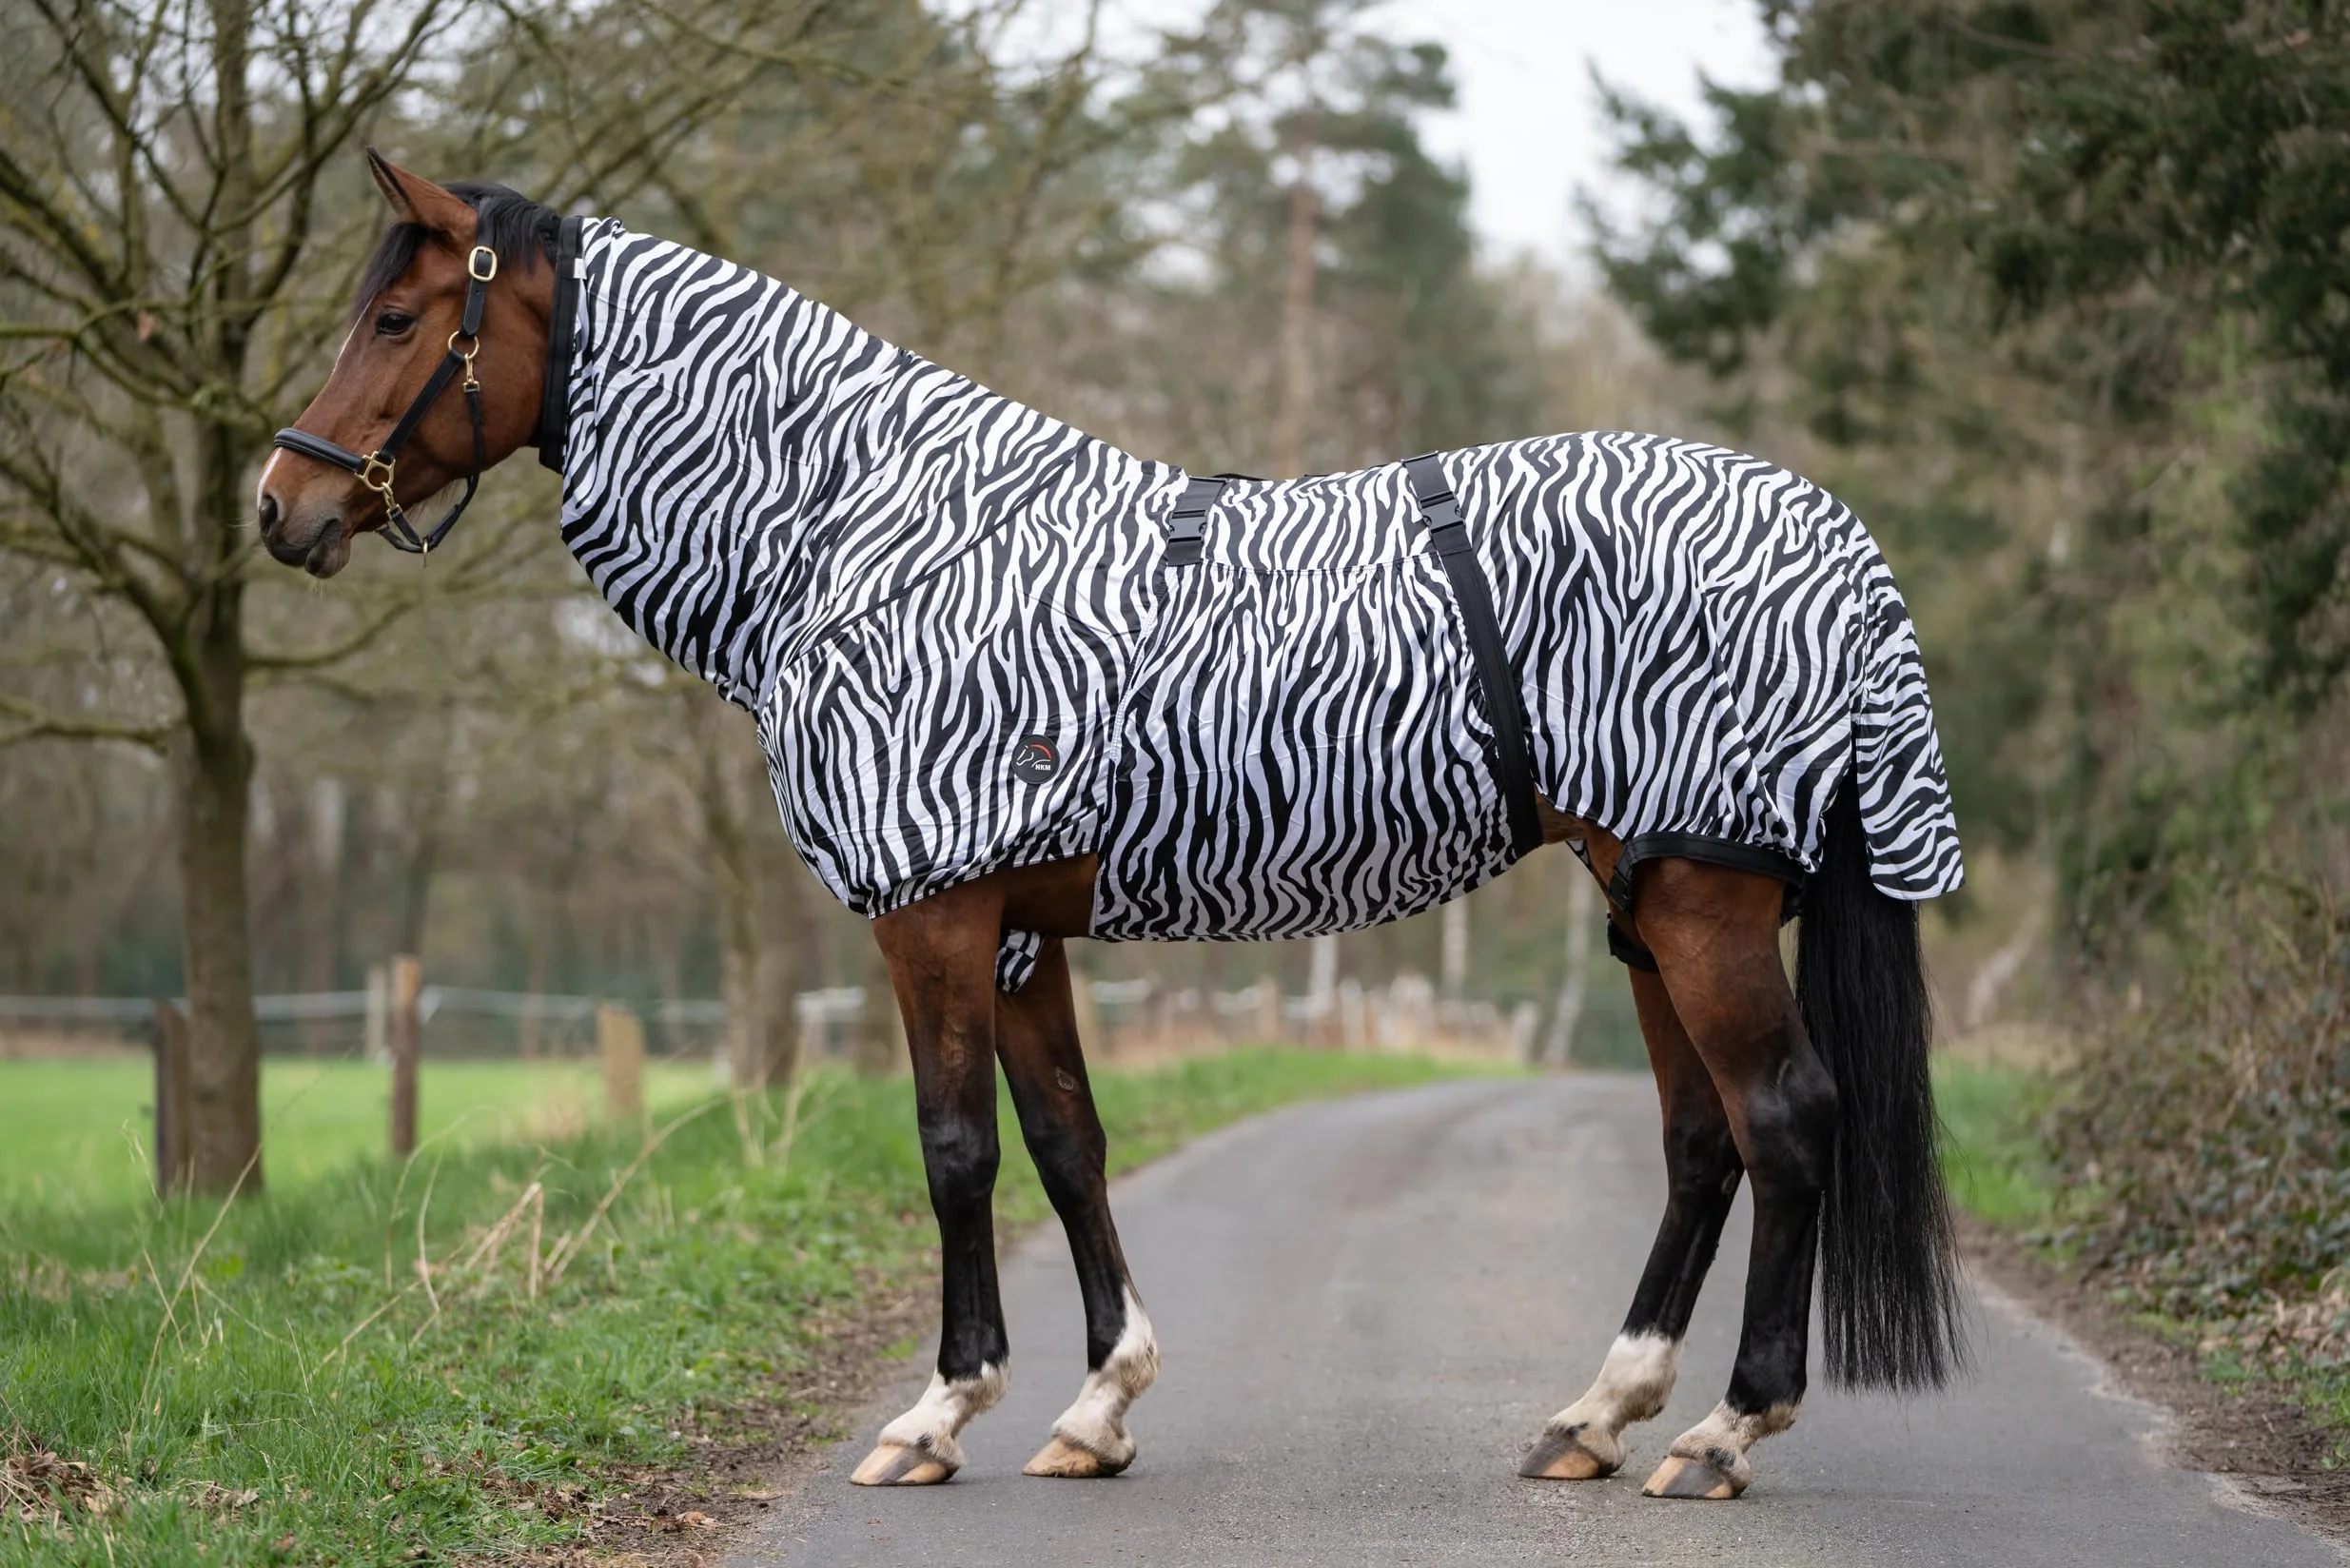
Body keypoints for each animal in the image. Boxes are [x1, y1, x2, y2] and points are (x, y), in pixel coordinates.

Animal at [257, 152, 1967, 1502]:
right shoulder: (1016, 927)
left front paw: (941, 1410)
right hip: (1649, 899)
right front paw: (1098, 1403)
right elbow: (1067, 1141)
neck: (877, 536)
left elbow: (954, 1149)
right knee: (1700, 1140)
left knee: (1784, 1120)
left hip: (1701, 905)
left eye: (398, 319)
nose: (284, 504)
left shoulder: (931, 914)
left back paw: (1727, 1431)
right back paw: (1597, 1414)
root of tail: (1831, 533)